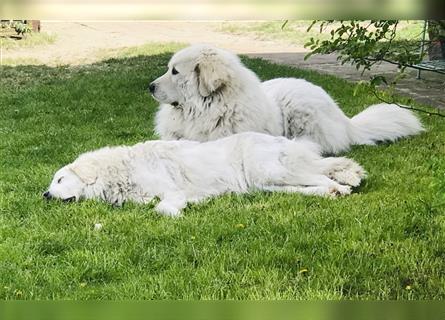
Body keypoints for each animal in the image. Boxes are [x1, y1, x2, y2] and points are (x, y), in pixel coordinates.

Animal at [44, 131, 364, 216]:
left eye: (60, 179)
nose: (45, 195)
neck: (118, 171)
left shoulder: (170, 190)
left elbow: (162, 209)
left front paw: (177, 212)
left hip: (271, 172)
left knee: (322, 177)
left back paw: (341, 187)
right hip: (269, 184)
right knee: (313, 185)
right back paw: (332, 191)